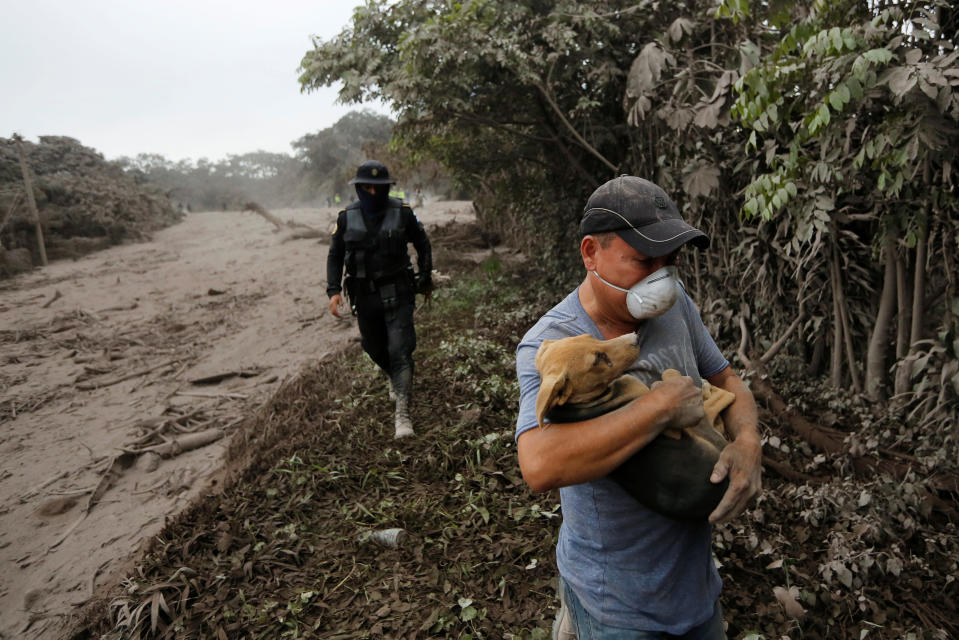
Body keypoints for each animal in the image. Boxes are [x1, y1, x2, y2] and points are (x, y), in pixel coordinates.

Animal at [532, 336, 736, 520]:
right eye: (597, 359)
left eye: (588, 337)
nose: (635, 338)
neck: (580, 403)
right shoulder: (672, 426)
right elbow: (669, 374)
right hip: (706, 431)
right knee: (724, 397)